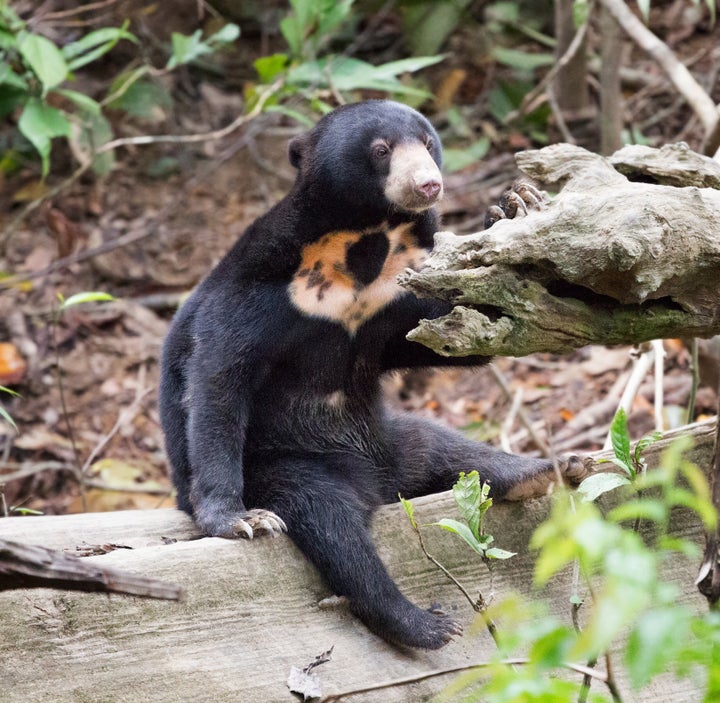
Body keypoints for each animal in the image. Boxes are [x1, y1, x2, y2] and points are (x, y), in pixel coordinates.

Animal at [159, 102, 592, 652]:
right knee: (332, 522)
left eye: (427, 143)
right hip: (284, 464)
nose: (428, 185)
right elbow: (219, 378)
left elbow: (463, 330)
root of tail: (378, 483)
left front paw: (513, 206)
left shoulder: (396, 296)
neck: (365, 243)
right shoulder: (262, 287)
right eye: (381, 150)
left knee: (444, 449)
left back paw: (548, 470)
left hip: (393, 440)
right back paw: (423, 623)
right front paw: (238, 520)